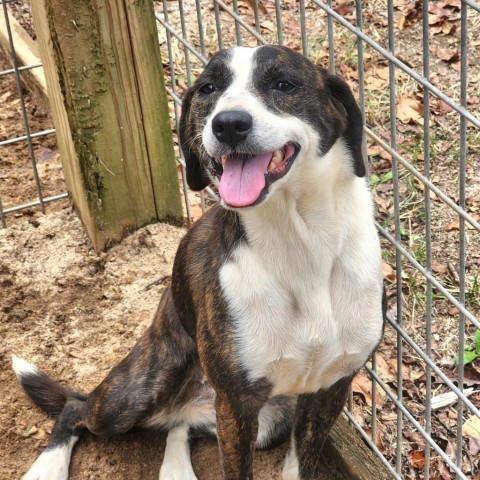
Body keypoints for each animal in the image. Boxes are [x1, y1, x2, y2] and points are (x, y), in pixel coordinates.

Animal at [12, 46, 386, 480]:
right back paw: (48, 467)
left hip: (267, 421)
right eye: (208, 88)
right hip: (135, 394)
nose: (229, 124)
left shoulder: (327, 391)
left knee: (180, 426)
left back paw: (176, 469)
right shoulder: (237, 403)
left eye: (284, 84)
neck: (301, 243)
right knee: (76, 408)